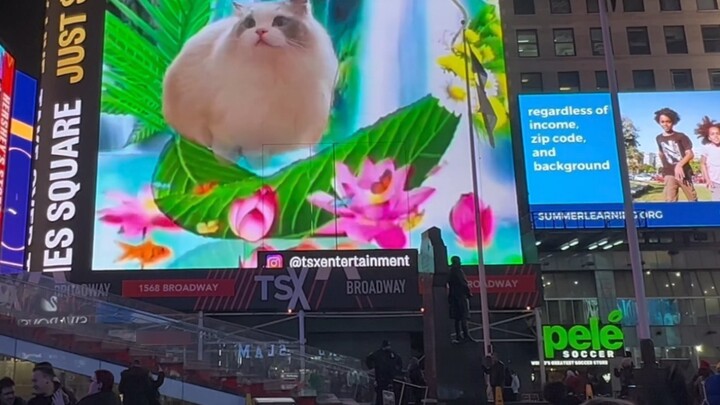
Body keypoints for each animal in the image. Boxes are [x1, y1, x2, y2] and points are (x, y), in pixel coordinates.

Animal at [165, 0, 338, 164]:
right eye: (250, 23)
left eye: (280, 21)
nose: (260, 31)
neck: (270, 75)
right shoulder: (223, 127)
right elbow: (224, 150)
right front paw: (226, 164)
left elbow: (256, 153)